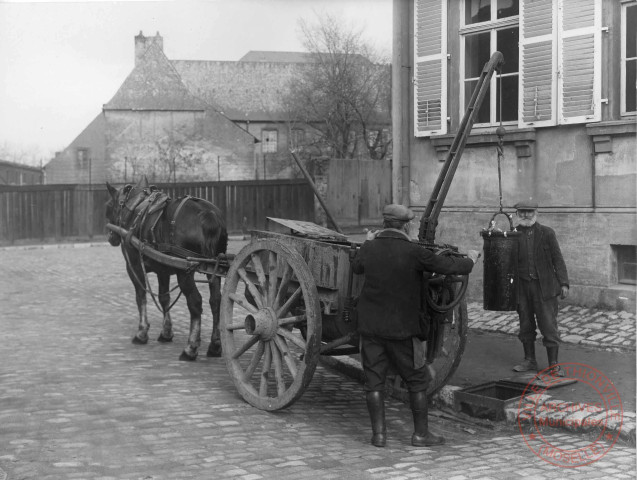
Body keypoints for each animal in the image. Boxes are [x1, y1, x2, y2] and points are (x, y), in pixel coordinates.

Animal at [106, 177, 229, 360]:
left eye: (109, 206)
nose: (111, 238)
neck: (135, 208)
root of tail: (209, 214)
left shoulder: (134, 266)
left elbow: (140, 296)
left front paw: (142, 332)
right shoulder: (163, 270)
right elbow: (164, 298)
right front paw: (166, 332)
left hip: (185, 272)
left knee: (195, 302)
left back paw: (190, 348)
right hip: (215, 268)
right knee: (215, 301)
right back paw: (215, 346)